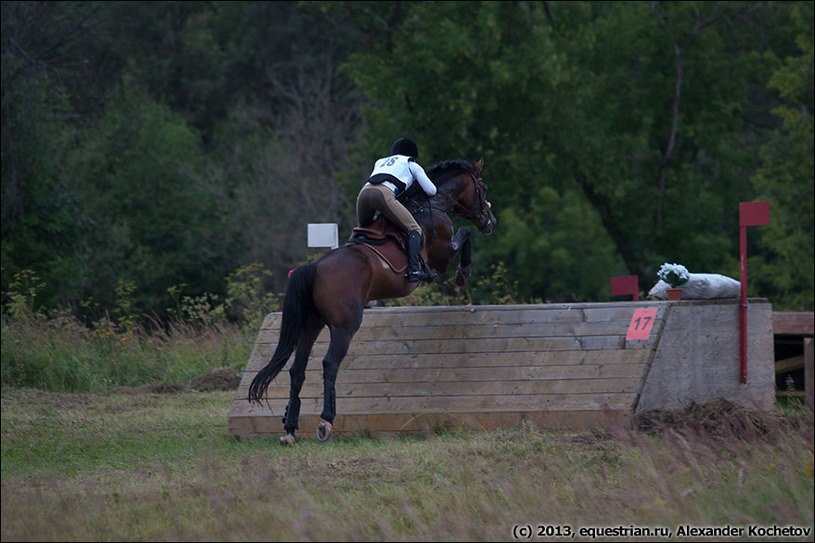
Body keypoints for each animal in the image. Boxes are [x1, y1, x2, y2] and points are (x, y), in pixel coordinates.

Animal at [247, 157, 498, 446]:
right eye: (483, 188)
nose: (491, 222)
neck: (433, 203)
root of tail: (314, 267)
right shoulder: (442, 255)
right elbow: (465, 234)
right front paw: (463, 273)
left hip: (311, 325)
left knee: (297, 370)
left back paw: (289, 428)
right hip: (345, 326)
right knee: (329, 364)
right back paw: (326, 421)